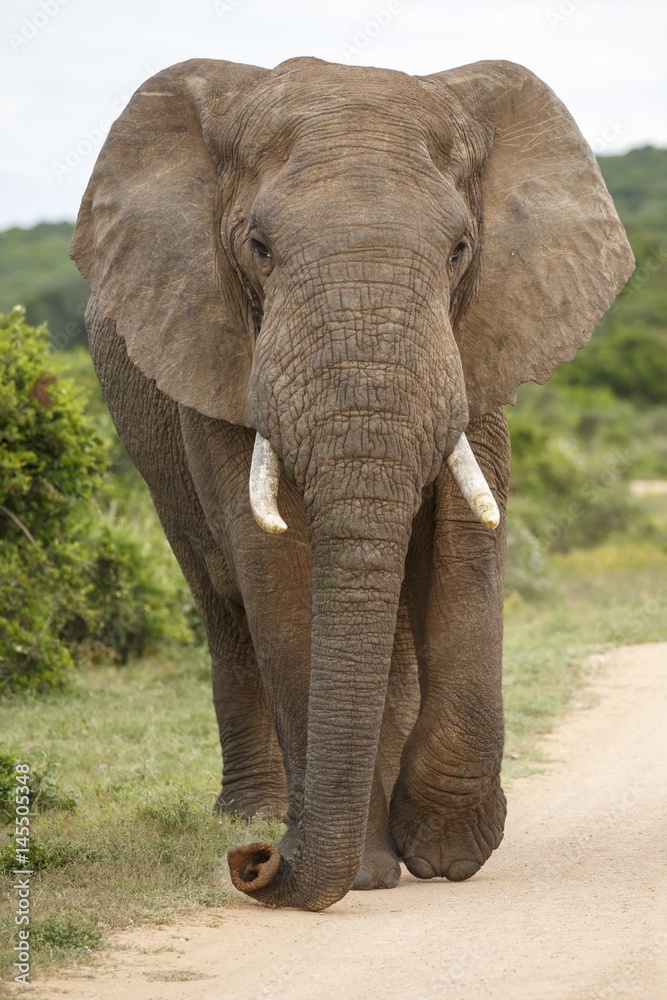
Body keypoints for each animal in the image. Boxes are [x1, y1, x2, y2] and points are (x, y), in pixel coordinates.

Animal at [70, 55, 633, 912]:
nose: (256, 864)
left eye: (460, 248)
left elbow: (466, 544)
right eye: (258, 247)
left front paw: (441, 849)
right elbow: (275, 565)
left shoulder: (483, 329)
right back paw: (254, 811)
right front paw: (362, 871)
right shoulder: (213, 340)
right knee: (222, 600)